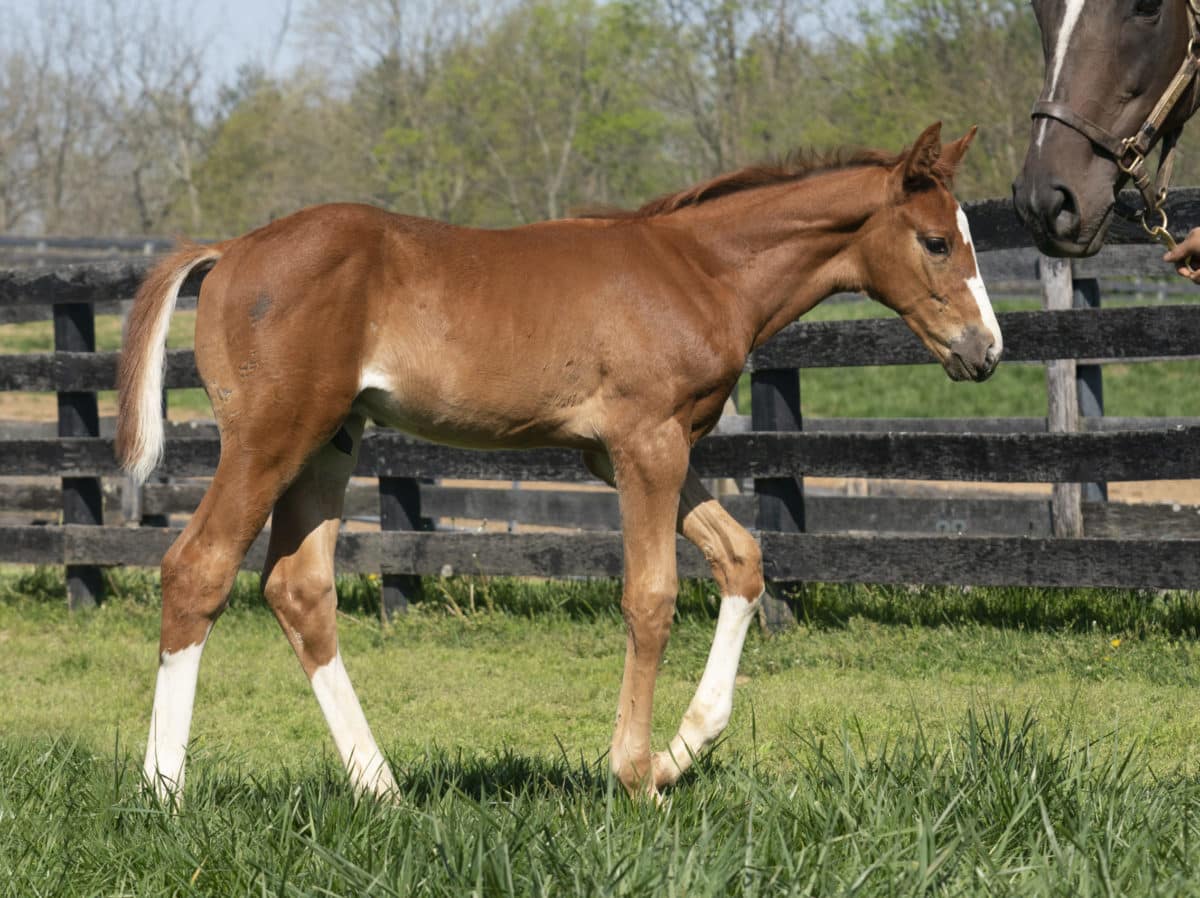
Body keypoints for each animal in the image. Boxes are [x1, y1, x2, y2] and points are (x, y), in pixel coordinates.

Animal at [119, 119, 1003, 801]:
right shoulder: (645, 444)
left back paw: (384, 790)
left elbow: (743, 560)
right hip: (273, 436)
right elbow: (651, 596)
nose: (986, 350)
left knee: (299, 589)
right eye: (935, 241)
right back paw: (165, 794)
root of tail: (229, 250)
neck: (699, 271)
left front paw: (680, 754)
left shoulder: (631, 452)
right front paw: (636, 773)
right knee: (197, 568)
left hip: (332, 440)